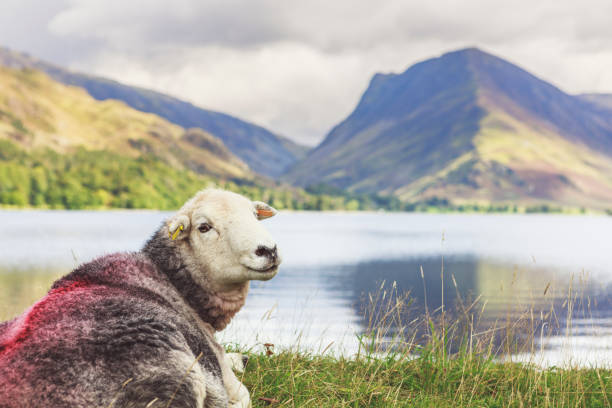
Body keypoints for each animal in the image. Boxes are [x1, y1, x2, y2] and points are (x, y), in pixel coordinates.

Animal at [0, 190, 280, 408]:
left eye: (254, 215)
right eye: (204, 227)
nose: (268, 250)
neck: (175, 281)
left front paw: (241, 358)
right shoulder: (219, 367)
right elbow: (242, 393)